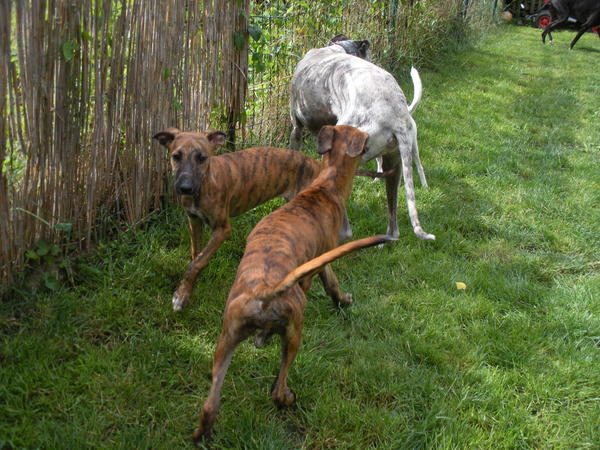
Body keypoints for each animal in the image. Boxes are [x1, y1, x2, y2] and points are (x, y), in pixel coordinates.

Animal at [155, 129, 324, 312]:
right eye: (176, 156)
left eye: (202, 158)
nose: (185, 188)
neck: (206, 183)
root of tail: (317, 164)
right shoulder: (194, 220)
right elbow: (196, 256)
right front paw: (189, 288)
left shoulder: (222, 229)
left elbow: (197, 263)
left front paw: (181, 295)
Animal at [190, 124, 392, 442]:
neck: (326, 185)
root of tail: (264, 292)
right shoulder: (320, 261)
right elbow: (331, 280)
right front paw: (342, 300)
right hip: (294, 331)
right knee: (278, 385)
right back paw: (286, 397)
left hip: (225, 341)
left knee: (211, 404)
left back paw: (204, 434)